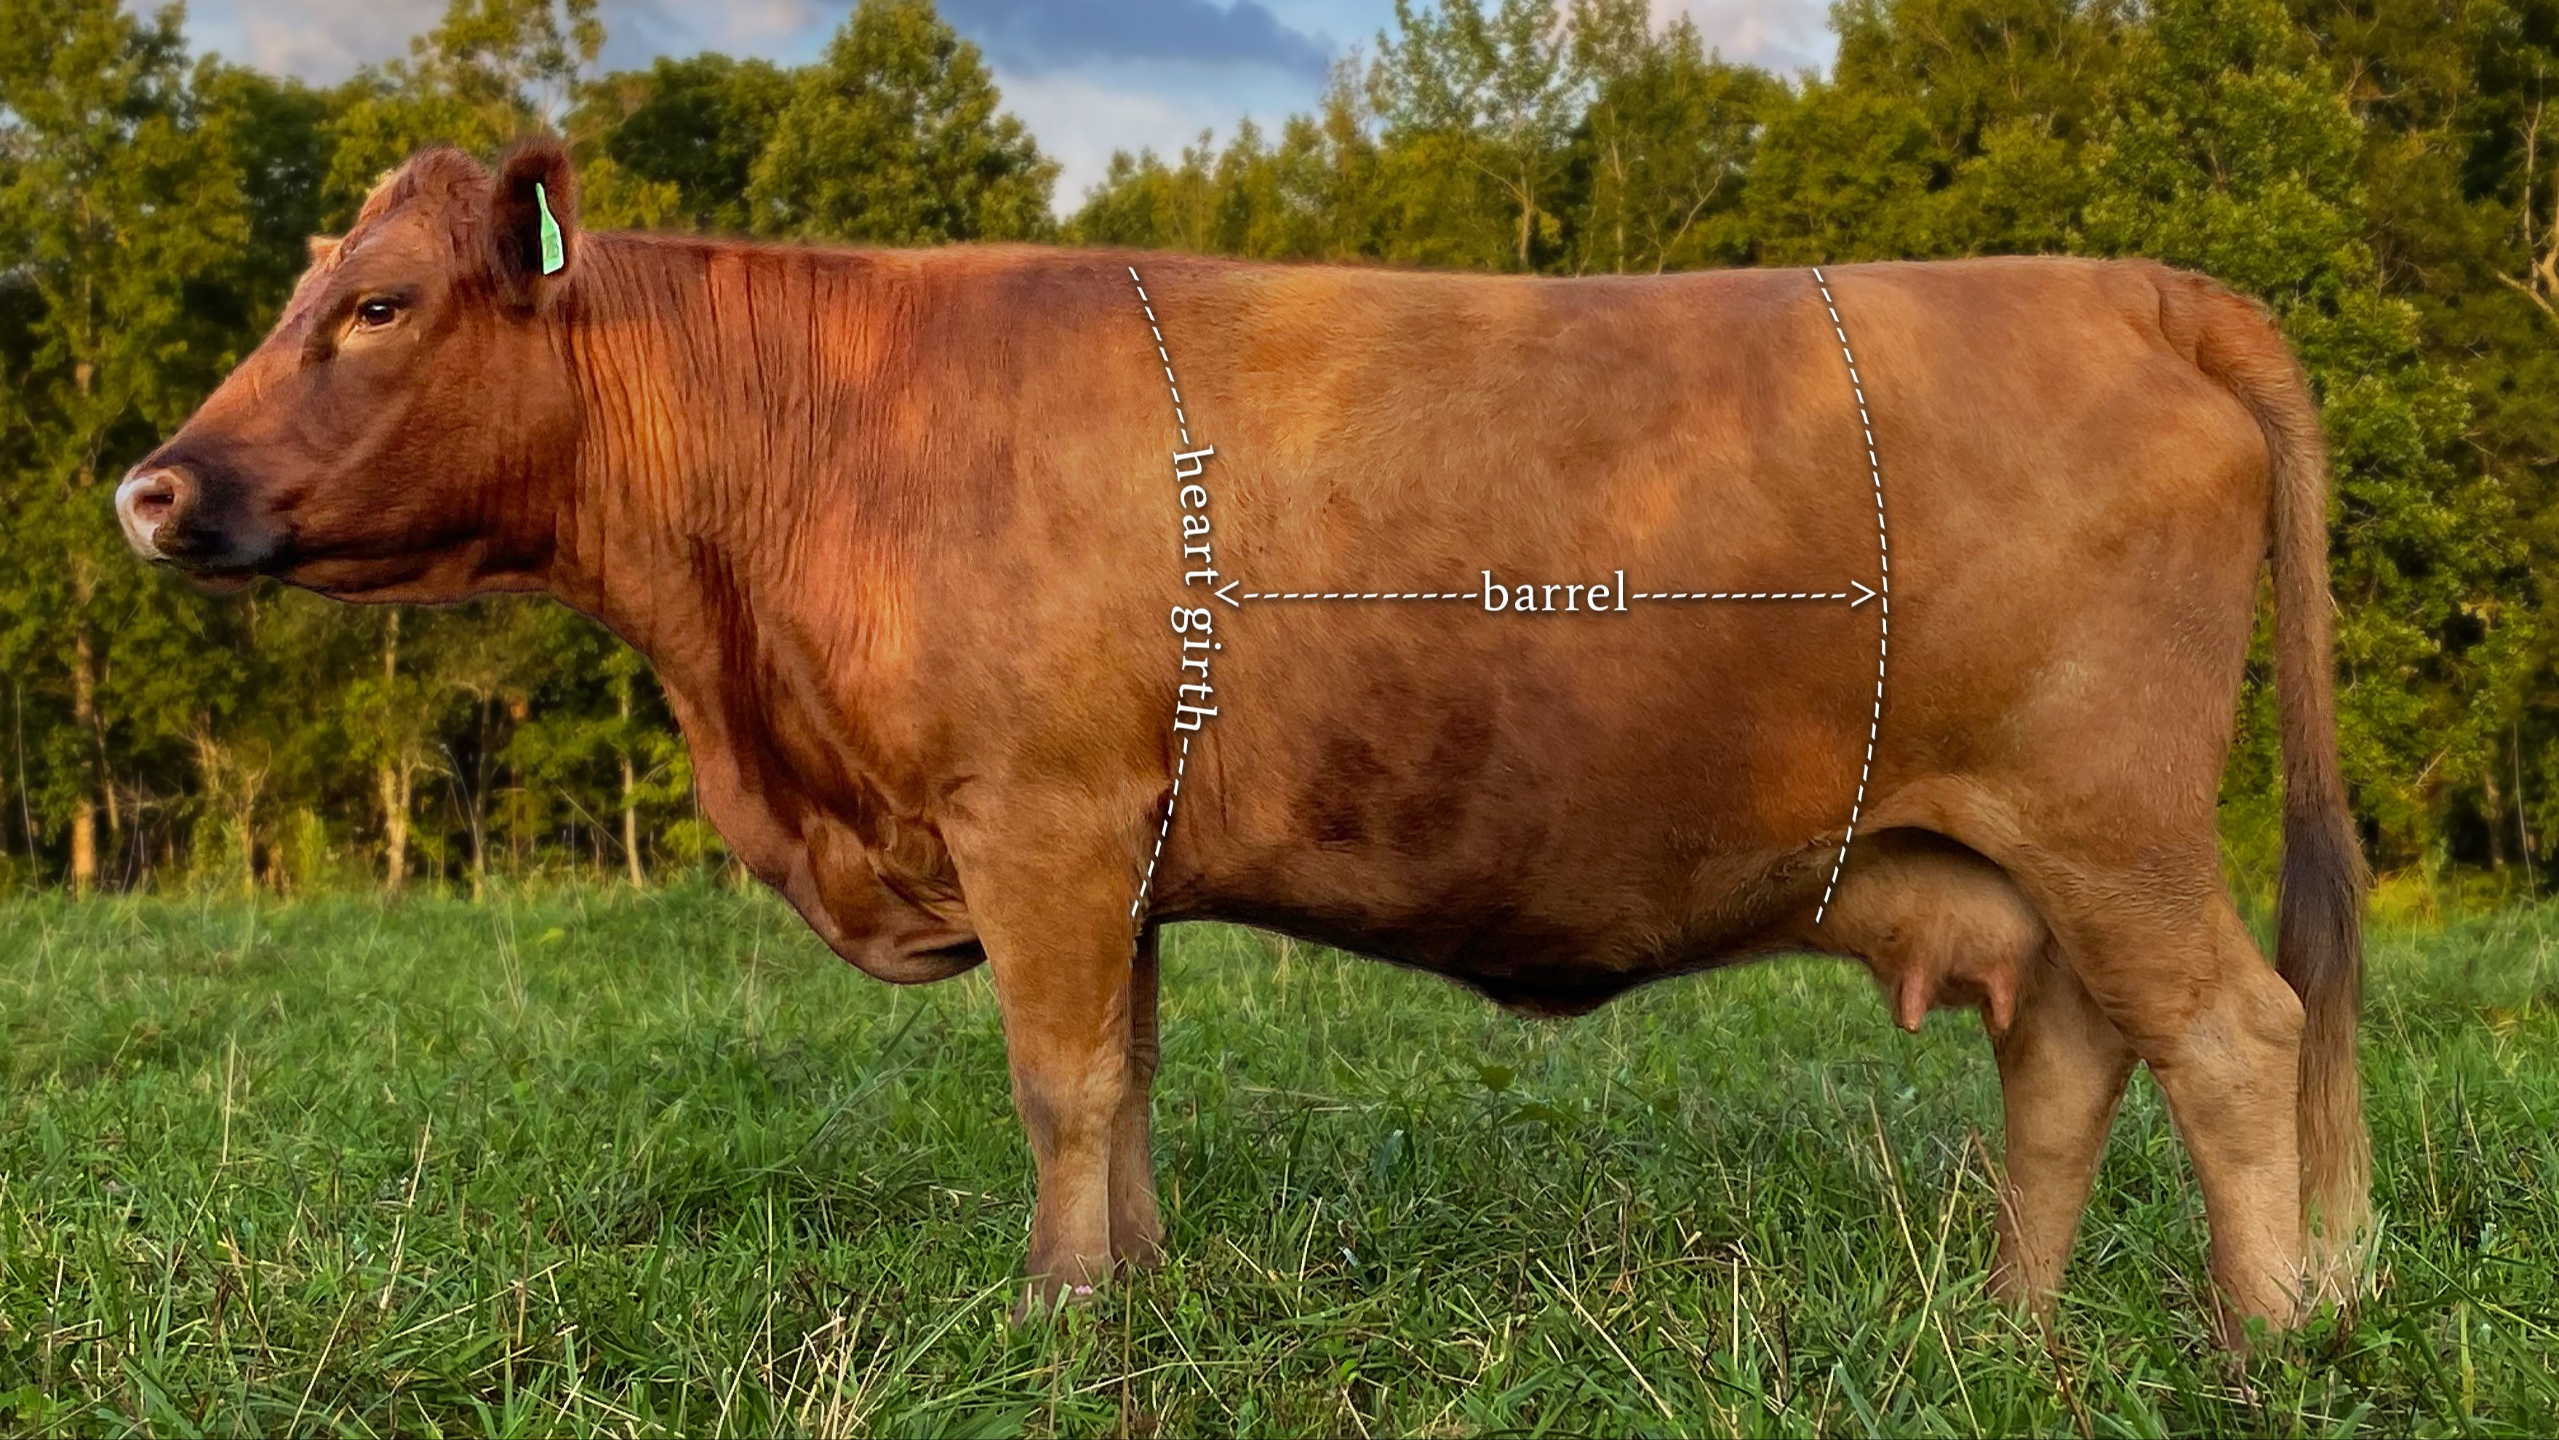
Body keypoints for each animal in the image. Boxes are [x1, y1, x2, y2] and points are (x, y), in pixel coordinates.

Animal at [117, 137, 2367, 1346]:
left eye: (378, 305)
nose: (150, 489)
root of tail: (2127, 285)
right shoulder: (1110, 847)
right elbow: (1123, 1088)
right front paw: (1129, 1298)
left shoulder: (1033, 814)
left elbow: (1052, 1086)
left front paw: (1049, 1321)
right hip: (2025, 849)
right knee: (2069, 1057)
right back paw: (2004, 1323)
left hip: (2109, 819)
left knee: (2235, 1033)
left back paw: (2263, 1339)